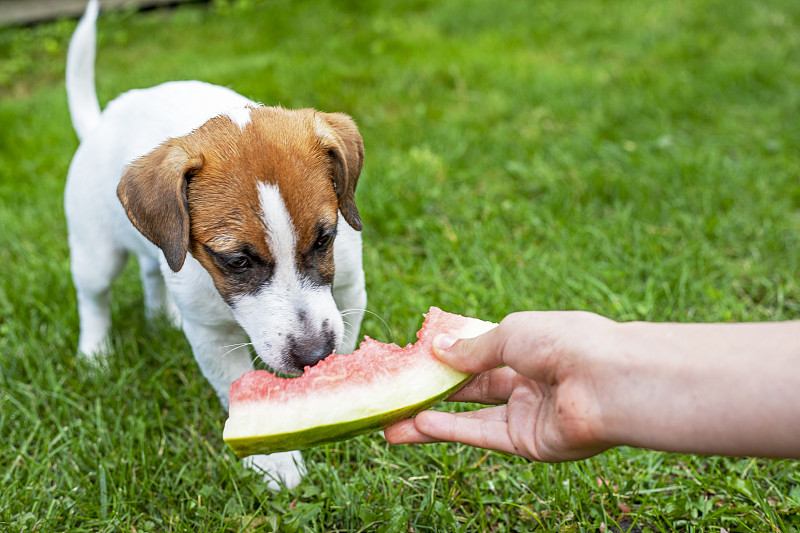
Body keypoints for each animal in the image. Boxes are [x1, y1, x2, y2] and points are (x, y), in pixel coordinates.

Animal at [64, 0, 368, 490]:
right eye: (237, 260)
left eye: (325, 238)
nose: (311, 358)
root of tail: (101, 123)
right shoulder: (210, 335)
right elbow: (235, 386)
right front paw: (276, 461)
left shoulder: (348, 290)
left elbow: (346, 337)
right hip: (96, 253)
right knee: (93, 299)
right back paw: (95, 354)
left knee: (152, 271)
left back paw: (161, 316)